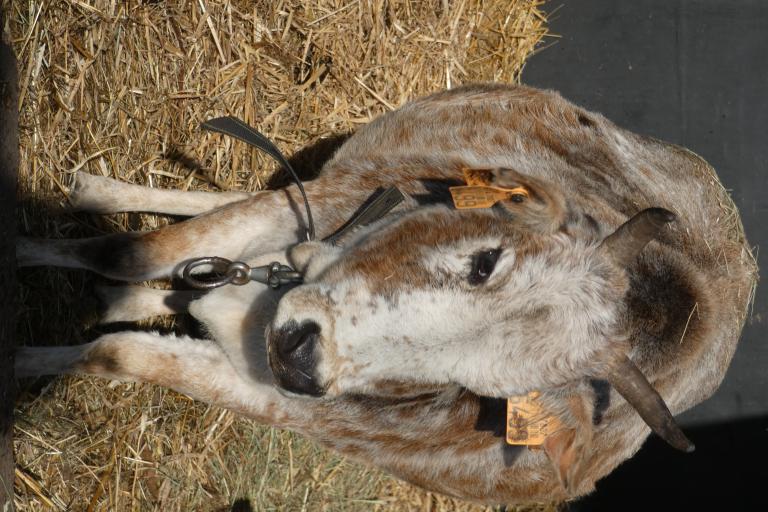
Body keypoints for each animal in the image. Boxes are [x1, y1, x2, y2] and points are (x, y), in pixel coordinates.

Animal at [16, 85, 756, 504]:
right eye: (483, 263)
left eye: (481, 389)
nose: (300, 356)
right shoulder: (342, 198)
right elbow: (131, 252)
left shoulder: (297, 405)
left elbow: (120, 353)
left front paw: (30, 361)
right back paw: (101, 196)